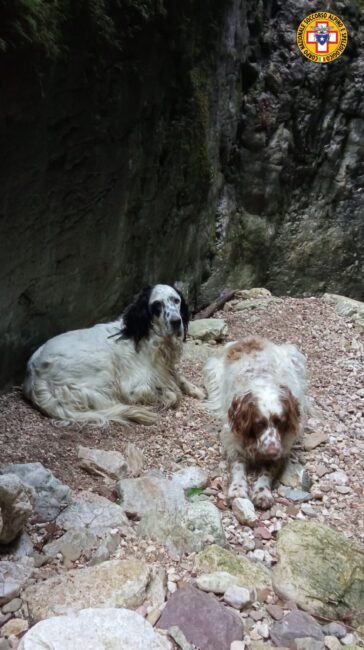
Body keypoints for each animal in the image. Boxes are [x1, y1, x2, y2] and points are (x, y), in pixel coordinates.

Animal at [23, 284, 203, 426]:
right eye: (157, 305)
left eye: (176, 300)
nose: (176, 321)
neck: (148, 336)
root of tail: (33, 373)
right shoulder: (132, 388)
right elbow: (171, 393)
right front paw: (169, 396)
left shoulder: (165, 369)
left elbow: (178, 378)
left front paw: (196, 390)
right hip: (102, 369)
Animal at [203, 336, 306, 508]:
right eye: (259, 423)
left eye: (281, 422)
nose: (271, 451)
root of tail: (249, 339)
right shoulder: (234, 441)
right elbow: (238, 467)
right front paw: (237, 489)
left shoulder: (281, 448)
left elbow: (266, 473)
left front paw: (262, 492)